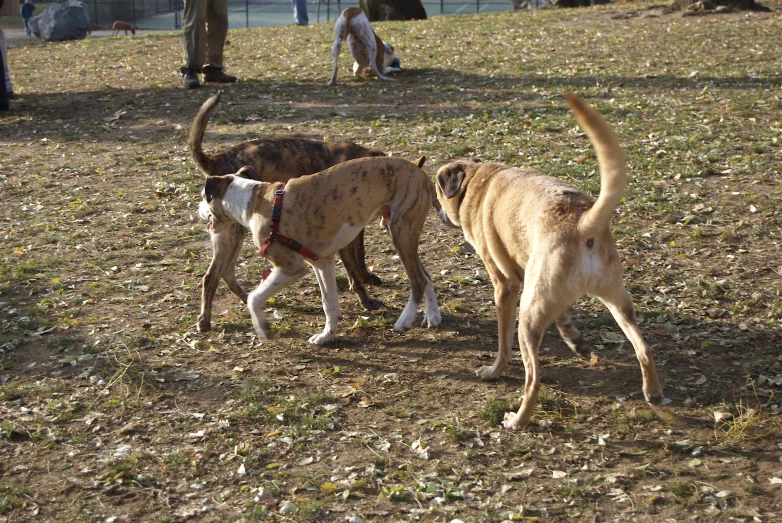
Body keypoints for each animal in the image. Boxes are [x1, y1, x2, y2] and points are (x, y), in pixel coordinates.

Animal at [190, 91, 386, 332]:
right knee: (212, 275)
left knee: (225, 271)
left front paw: (367, 276)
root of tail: (216, 160)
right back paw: (205, 320)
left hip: (233, 232)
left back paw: (245, 298)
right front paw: (366, 301)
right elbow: (354, 271)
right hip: (231, 233)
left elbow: (360, 257)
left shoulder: (355, 233)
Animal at [438, 93, 664, 430]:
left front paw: (494, 371)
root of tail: (583, 223)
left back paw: (517, 420)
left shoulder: (506, 285)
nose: (439, 213)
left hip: (529, 316)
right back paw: (653, 392)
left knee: (534, 380)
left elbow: (502, 343)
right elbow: (564, 317)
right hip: (617, 302)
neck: (479, 180)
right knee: (645, 349)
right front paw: (576, 340)